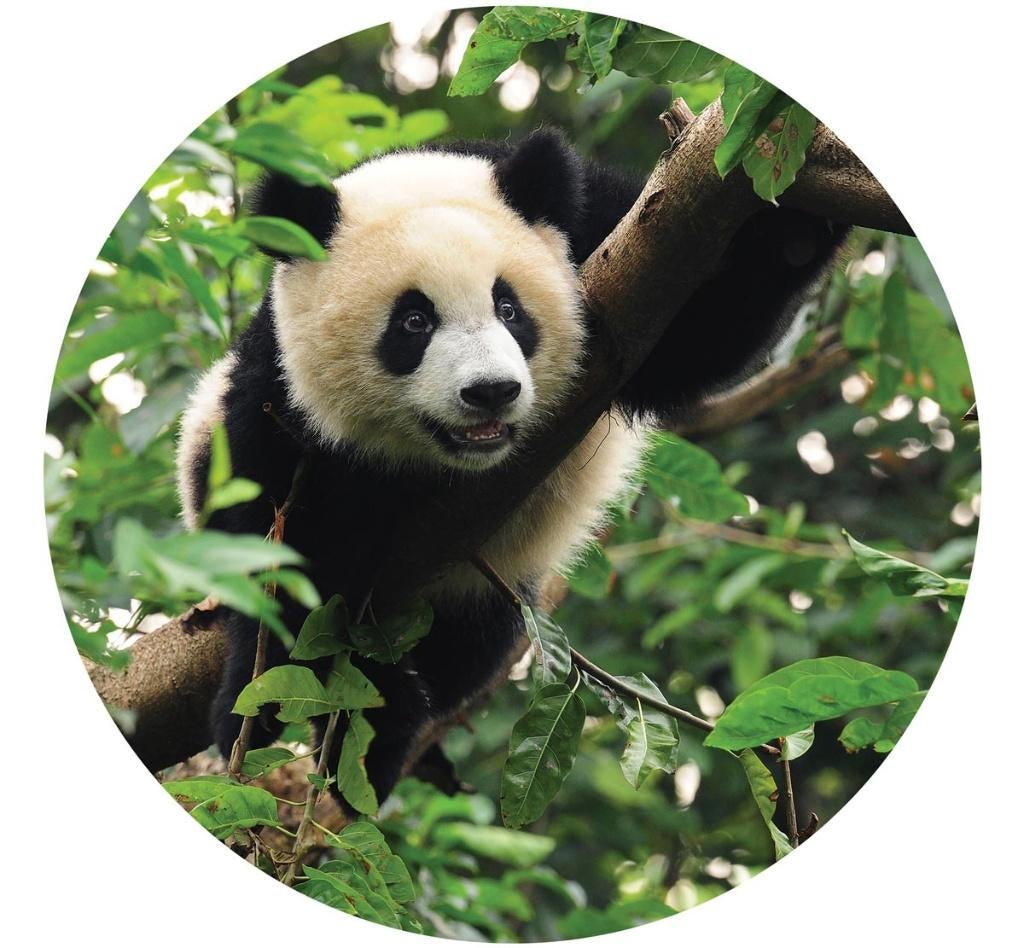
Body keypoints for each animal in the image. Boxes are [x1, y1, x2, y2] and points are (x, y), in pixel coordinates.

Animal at [177, 128, 846, 807]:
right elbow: (283, 546)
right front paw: (267, 704)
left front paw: (800, 201)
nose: (491, 391)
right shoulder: (279, 393)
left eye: (509, 307)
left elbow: (703, 331)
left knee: (468, 651)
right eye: (413, 321)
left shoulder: (612, 239)